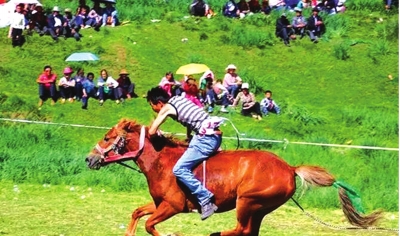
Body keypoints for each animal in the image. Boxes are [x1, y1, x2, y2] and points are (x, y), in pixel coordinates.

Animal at [85, 120, 382, 236]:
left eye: (108, 138)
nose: (89, 159)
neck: (163, 162)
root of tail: (289, 168)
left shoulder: (173, 206)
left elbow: (150, 225)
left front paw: (171, 232)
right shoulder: (160, 204)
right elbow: (138, 213)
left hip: (247, 202)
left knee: (241, 230)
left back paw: (216, 232)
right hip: (259, 208)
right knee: (249, 232)